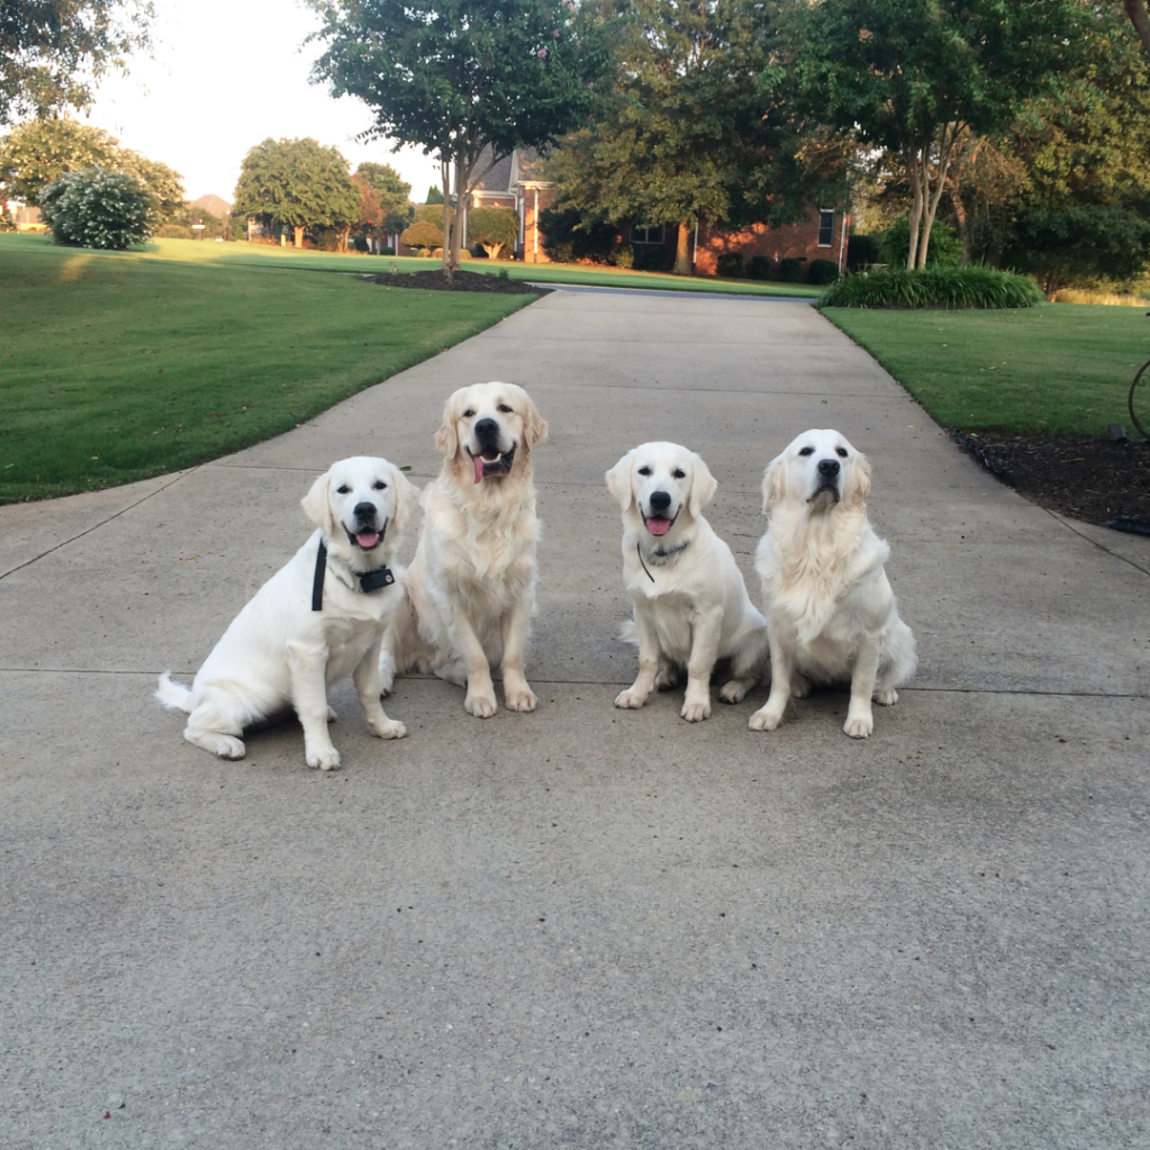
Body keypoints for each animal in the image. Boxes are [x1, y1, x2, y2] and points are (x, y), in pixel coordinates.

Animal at [155, 453, 420, 768]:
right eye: (343, 490)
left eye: (380, 485)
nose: (365, 509)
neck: (357, 575)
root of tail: (195, 697)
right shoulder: (308, 651)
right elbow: (313, 707)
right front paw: (320, 752)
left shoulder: (369, 645)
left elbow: (369, 693)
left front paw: (382, 727)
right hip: (251, 699)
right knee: (193, 727)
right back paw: (226, 744)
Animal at [379, 381, 549, 713]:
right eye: (468, 414)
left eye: (504, 408)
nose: (485, 426)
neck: (489, 507)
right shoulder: (452, 595)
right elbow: (475, 655)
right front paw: (481, 697)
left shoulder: (521, 590)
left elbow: (512, 655)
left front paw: (518, 692)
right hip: (399, 594)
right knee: (386, 653)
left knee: (442, 667)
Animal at [607, 443, 768, 722]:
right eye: (644, 471)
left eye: (679, 474)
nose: (660, 499)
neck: (664, 552)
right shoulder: (643, 612)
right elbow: (647, 660)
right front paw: (637, 693)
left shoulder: (707, 616)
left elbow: (698, 665)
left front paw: (696, 703)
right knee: (673, 662)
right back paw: (667, 676)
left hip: (753, 643)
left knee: (749, 676)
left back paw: (733, 689)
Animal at [745, 430, 915, 736]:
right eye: (806, 451)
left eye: (842, 453)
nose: (829, 466)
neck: (817, 544)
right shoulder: (778, 629)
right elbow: (779, 681)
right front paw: (770, 713)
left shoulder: (869, 635)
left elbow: (862, 684)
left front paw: (859, 719)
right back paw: (800, 685)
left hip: (900, 636)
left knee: (885, 676)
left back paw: (885, 692)